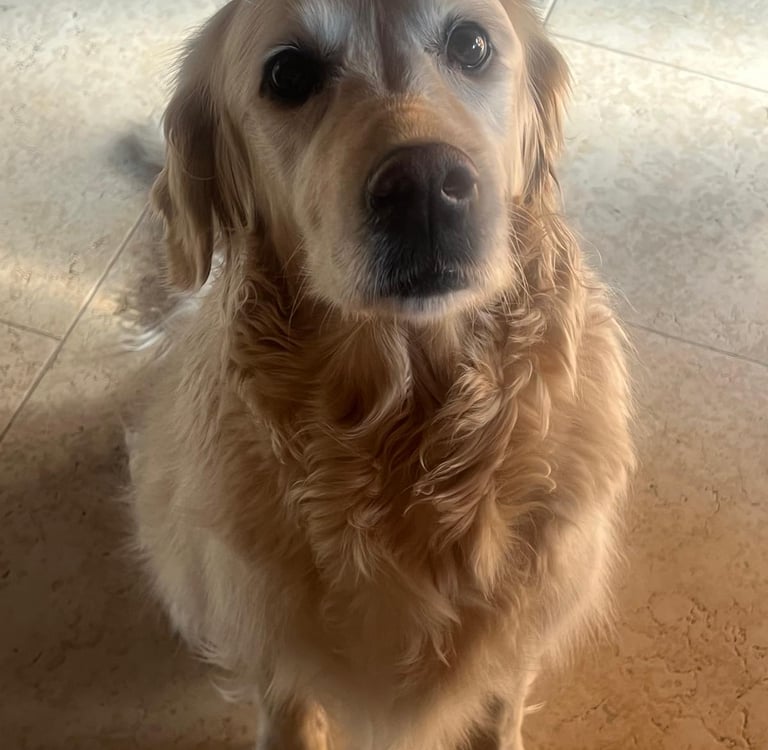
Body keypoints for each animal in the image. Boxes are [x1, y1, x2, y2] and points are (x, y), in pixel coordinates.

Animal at [128, 1, 635, 748]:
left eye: (472, 44)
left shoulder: (518, 642)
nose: (425, 188)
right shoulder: (278, 661)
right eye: (287, 74)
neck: (408, 429)